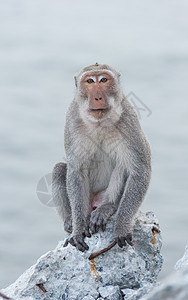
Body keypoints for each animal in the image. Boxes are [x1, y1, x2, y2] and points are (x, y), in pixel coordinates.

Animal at [52, 63, 152, 253]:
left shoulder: (129, 118)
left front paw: (121, 226)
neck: (99, 122)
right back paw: (70, 220)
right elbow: (76, 171)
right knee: (60, 169)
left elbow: (140, 170)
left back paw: (107, 207)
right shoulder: (72, 119)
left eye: (104, 80)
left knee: (123, 166)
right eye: (90, 81)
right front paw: (78, 229)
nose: (98, 97)